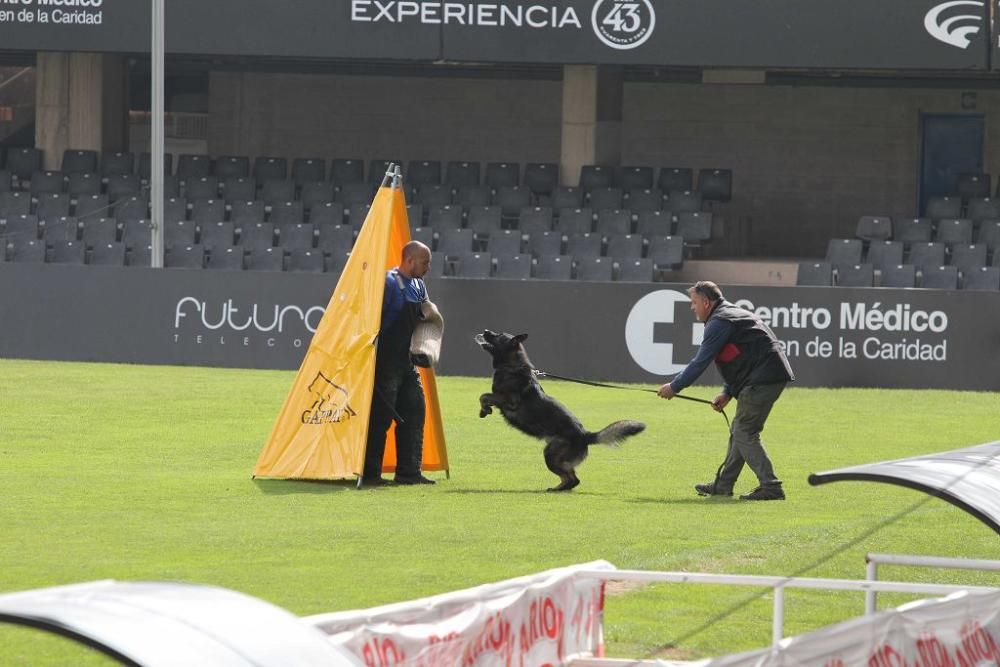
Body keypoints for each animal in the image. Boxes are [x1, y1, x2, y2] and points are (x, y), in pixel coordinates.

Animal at [476, 328, 648, 490]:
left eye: (498, 335)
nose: (485, 331)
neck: (512, 367)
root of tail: (585, 435)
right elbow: (484, 396)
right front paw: (484, 410)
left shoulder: (509, 400)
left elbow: (484, 395)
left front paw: (485, 409)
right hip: (556, 457)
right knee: (573, 479)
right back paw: (557, 488)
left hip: (551, 455)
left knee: (572, 479)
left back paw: (556, 489)